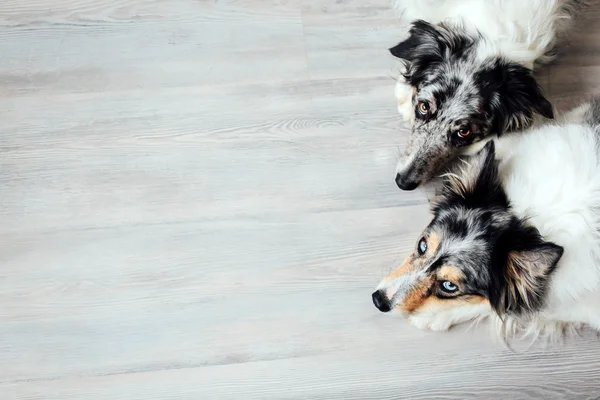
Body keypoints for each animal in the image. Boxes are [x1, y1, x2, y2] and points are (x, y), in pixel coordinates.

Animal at [372, 98, 600, 340]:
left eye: (449, 286)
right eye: (422, 245)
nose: (379, 300)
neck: (528, 217)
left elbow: (499, 305)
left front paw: (434, 316)